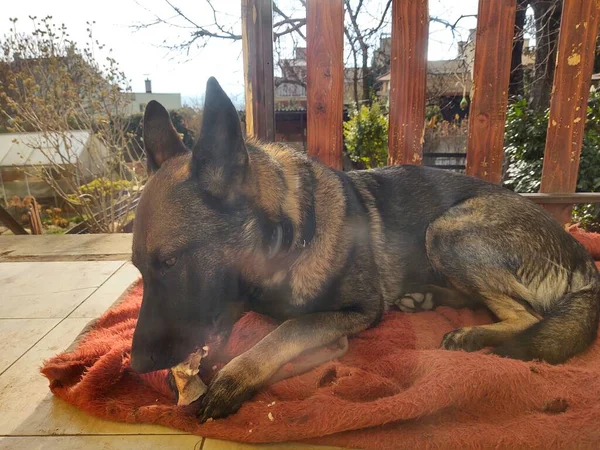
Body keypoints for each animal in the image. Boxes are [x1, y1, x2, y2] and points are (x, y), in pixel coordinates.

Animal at [130, 76, 600, 422]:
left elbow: (287, 328)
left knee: (528, 316)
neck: (292, 240)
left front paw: (235, 375)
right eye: (138, 268)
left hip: (446, 231)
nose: (135, 366)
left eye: (170, 261)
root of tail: (584, 260)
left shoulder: (359, 310)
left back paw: (471, 334)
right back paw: (428, 298)